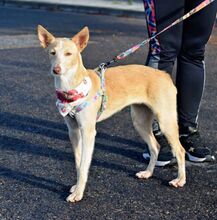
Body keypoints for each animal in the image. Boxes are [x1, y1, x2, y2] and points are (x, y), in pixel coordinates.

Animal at [36, 25, 185, 203]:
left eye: (68, 54)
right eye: (52, 52)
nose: (56, 70)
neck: (71, 87)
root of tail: (164, 75)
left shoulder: (88, 132)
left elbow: (84, 164)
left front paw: (78, 193)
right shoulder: (73, 131)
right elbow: (78, 162)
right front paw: (76, 187)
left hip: (165, 121)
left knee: (180, 150)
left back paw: (180, 180)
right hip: (140, 121)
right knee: (155, 146)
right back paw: (148, 173)